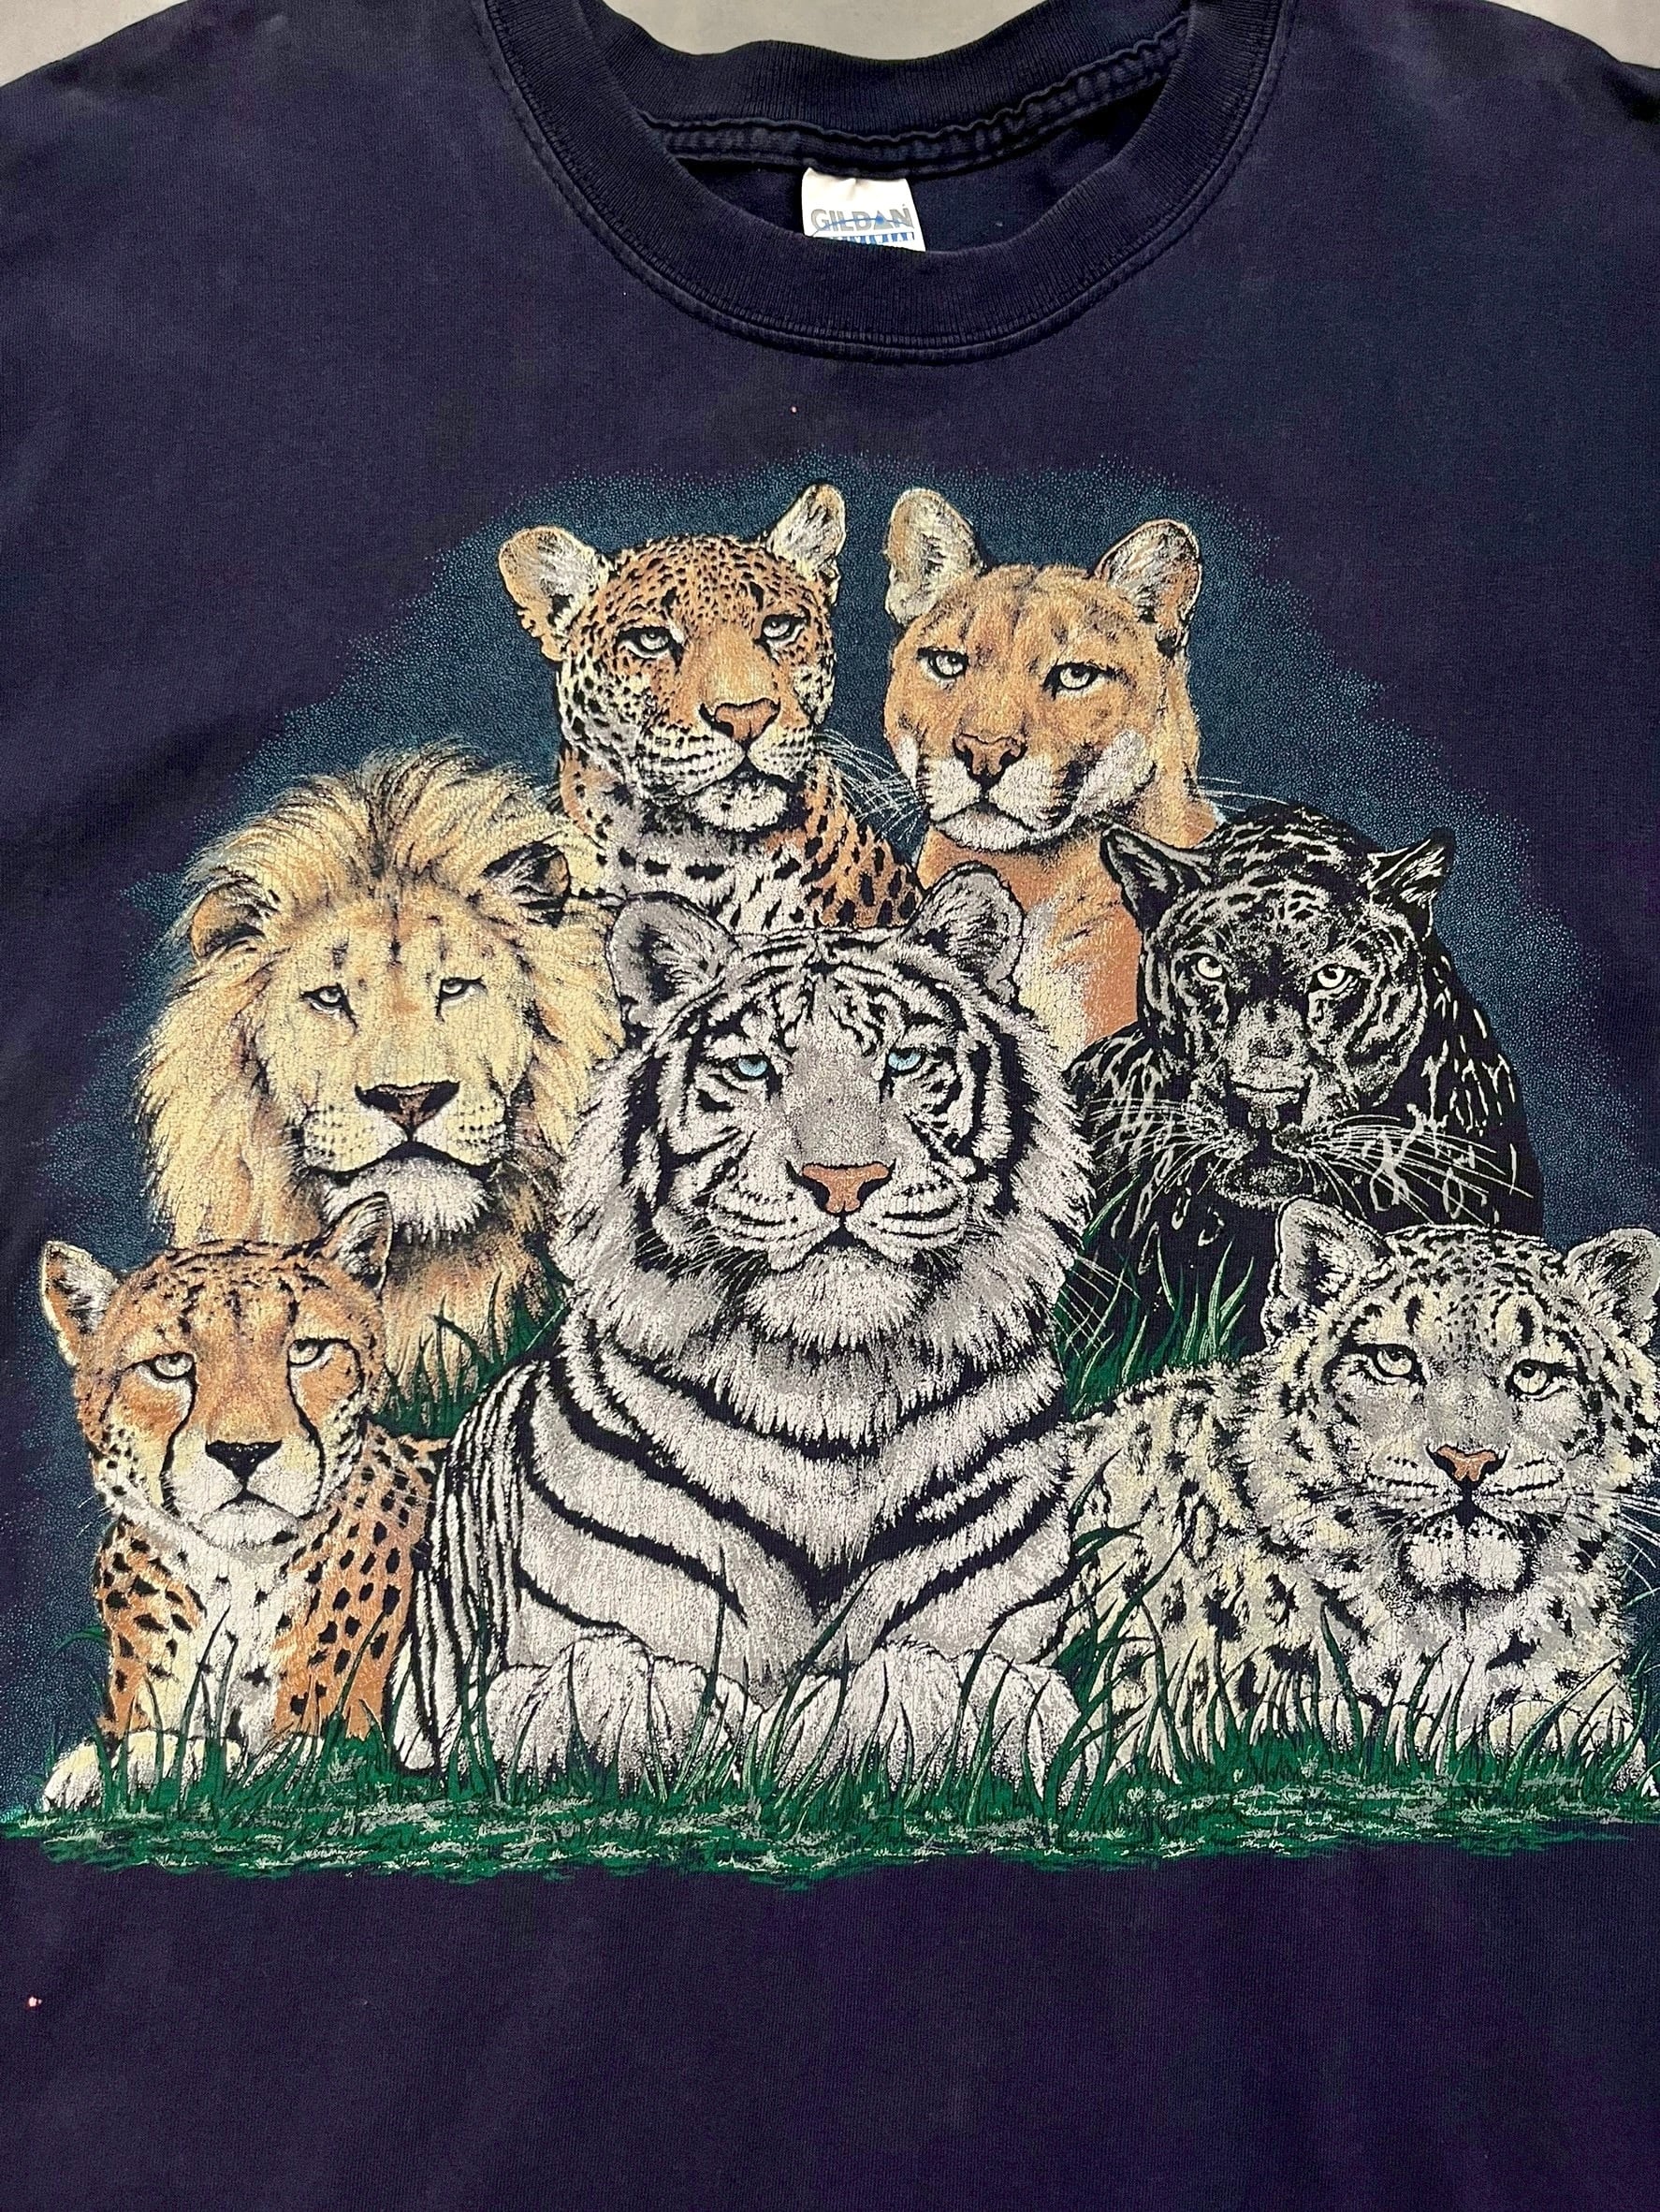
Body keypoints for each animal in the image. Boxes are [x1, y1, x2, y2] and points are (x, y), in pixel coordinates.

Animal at [37, 1197, 441, 1810]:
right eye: (171, 1366)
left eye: (306, 1351)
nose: (243, 1452)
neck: (236, 1575)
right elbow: (147, 1737)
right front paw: (112, 1766)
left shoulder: (353, 1735)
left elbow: (290, 1753)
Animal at [402, 867, 1093, 1789]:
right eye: (754, 1068)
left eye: (903, 1062)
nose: (844, 1180)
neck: (826, 1391)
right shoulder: (531, 1672)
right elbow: (615, 1681)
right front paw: (726, 1728)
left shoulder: (999, 1631)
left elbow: (966, 1681)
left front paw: (880, 1714)